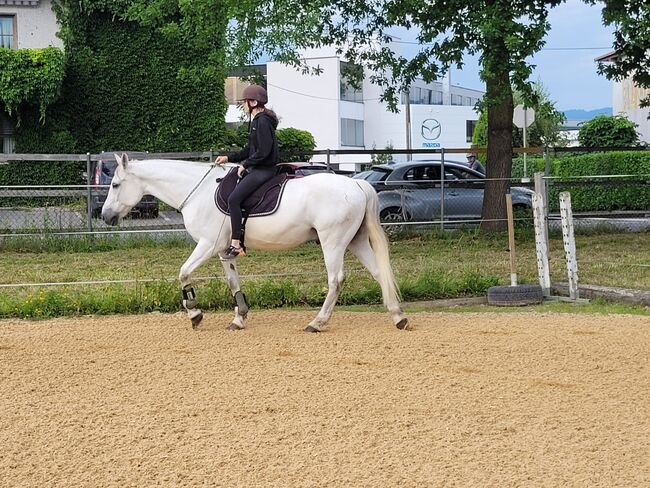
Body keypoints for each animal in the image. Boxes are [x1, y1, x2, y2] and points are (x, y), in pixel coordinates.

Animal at [100, 155, 404, 332]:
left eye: (115, 185)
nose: (105, 216)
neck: (197, 191)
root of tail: (356, 185)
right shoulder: (225, 251)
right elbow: (233, 282)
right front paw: (239, 318)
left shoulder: (208, 245)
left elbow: (184, 273)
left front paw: (195, 314)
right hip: (355, 241)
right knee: (379, 273)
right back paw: (398, 316)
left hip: (333, 243)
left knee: (336, 280)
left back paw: (317, 322)